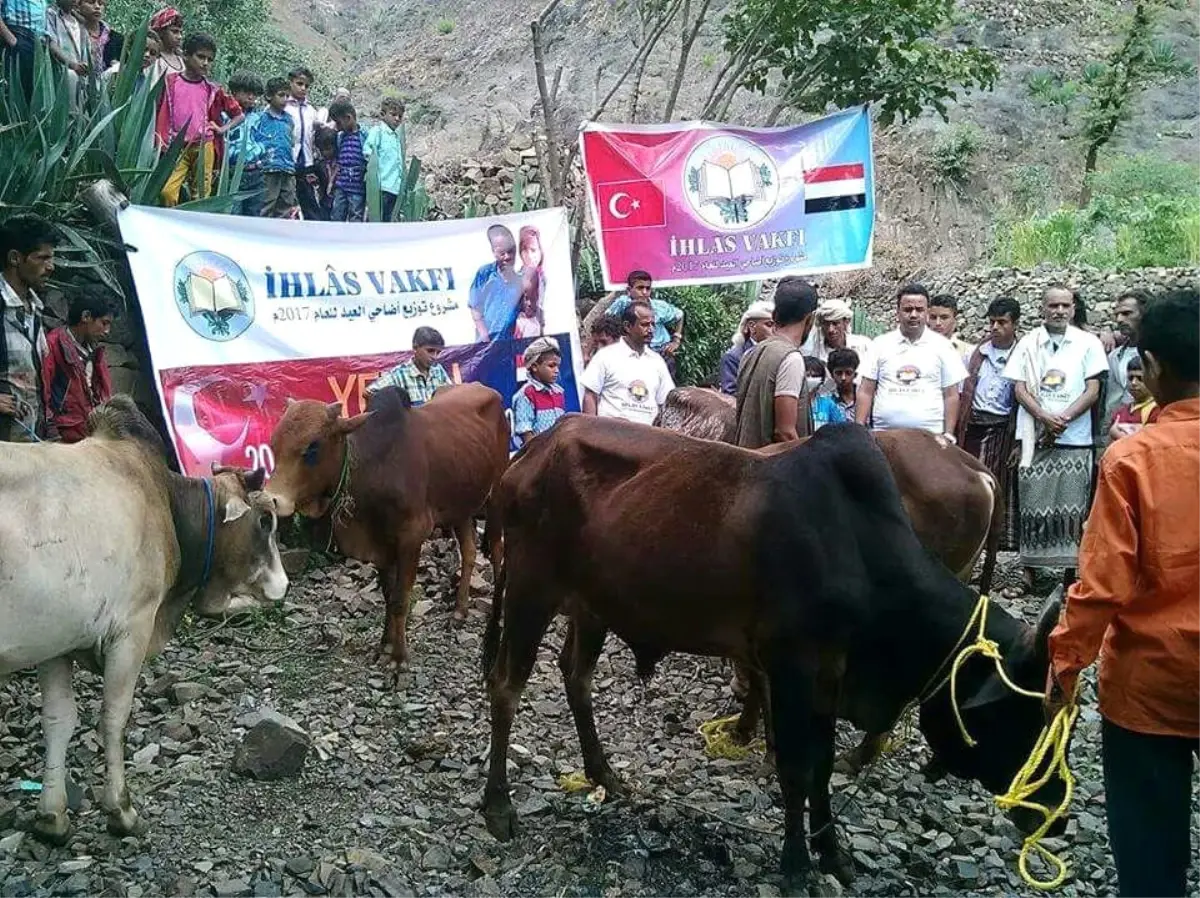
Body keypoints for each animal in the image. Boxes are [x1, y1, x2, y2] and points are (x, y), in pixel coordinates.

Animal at [0, 396, 288, 845]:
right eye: (264, 520)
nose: (283, 584)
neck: (164, 501)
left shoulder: (54, 643)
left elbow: (58, 721)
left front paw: (52, 817)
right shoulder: (132, 628)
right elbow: (114, 717)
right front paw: (121, 810)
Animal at [267, 381, 511, 672]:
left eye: (312, 447)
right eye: (274, 444)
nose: (270, 498)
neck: (374, 466)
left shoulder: (411, 537)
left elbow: (399, 599)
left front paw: (398, 658)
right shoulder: (380, 544)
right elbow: (387, 594)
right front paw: (384, 646)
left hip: (496, 495)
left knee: (496, 549)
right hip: (462, 505)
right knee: (470, 551)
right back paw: (459, 611)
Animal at [477, 420, 1060, 897]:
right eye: (1018, 712)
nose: (1051, 814)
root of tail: (529, 451)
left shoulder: (829, 676)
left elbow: (821, 766)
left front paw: (833, 853)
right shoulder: (792, 667)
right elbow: (795, 768)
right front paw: (797, 866)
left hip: (591, 606)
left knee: (576, 676)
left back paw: (602, 774)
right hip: (530, 589)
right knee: (505, 685)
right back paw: (498, 807)